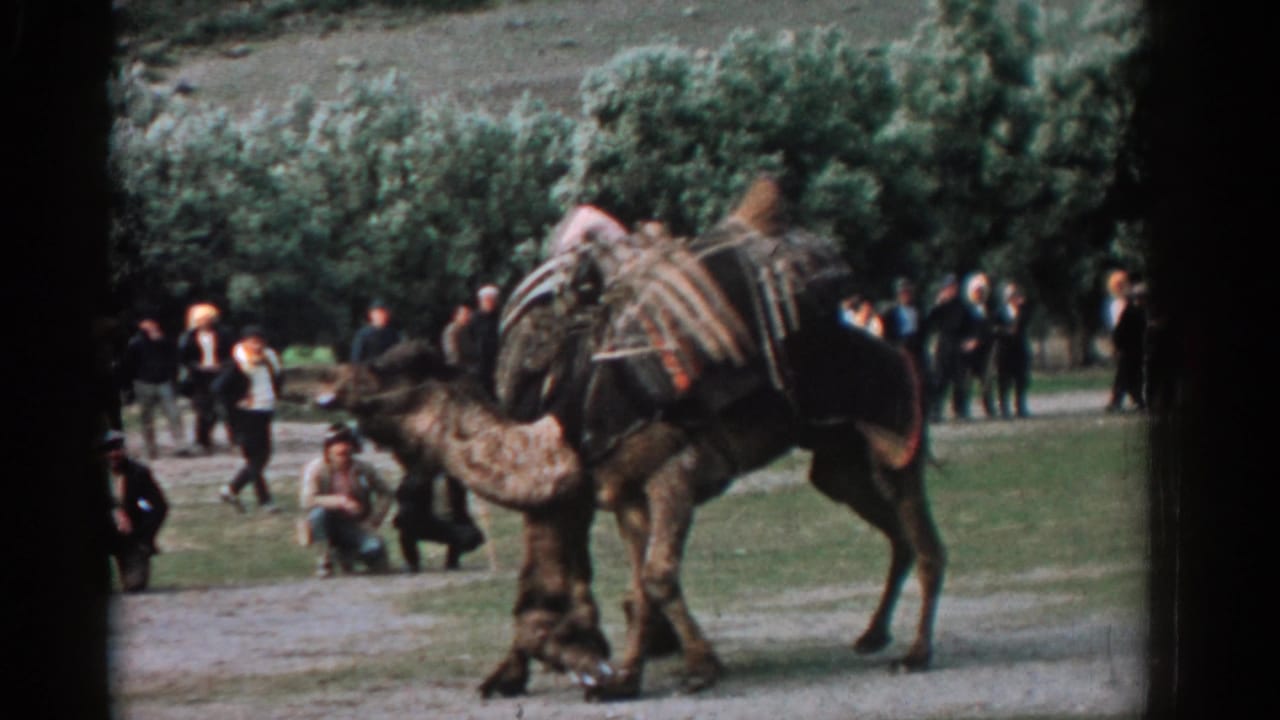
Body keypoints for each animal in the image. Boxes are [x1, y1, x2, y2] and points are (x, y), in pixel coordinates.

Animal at [317, 177, 946, 700]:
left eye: (388, 371)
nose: (330, 397)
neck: (558, 430)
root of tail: (900, 353)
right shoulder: (622, 491)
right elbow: (642, 583)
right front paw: (624, 678)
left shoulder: (674, 474)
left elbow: (658, 577)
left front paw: (694, 669)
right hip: (839, 459)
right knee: (894, 533)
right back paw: (873, 636)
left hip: (894, 435)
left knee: (926, 543)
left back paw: (916, 654)